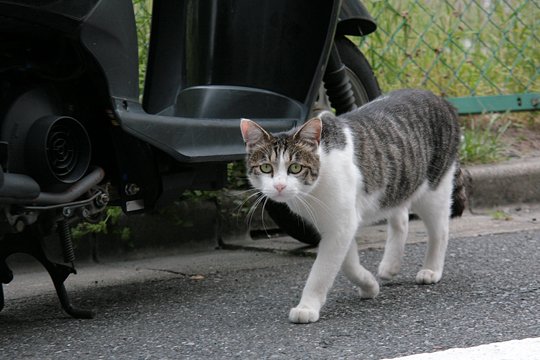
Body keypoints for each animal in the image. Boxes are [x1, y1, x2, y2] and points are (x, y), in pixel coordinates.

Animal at [239, 88, 464, 324]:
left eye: (295, 167)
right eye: (266, 168)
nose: (280, 186)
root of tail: (441, 100)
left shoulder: (342, 223)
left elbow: (322, 269)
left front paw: (307, 307)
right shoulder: (336, 224)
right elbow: (347, 262)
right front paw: (369, 285)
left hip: (434, 188)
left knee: (440, 230)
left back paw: (431, 270)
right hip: (397, 183)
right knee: (401, 217)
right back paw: (390, 266)